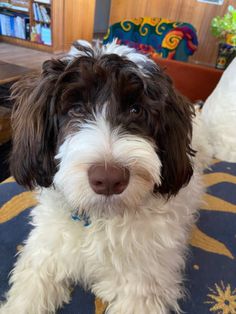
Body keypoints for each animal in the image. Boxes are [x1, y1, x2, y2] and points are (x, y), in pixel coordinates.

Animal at [0, 41, 210, 314]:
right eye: (76, 109)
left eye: (136, 109)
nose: (109, 179)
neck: (101, 217)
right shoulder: (44, 255)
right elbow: (29, 291)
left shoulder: (143, 287)